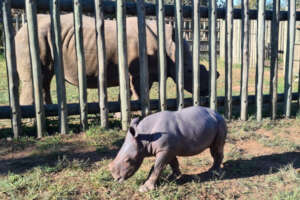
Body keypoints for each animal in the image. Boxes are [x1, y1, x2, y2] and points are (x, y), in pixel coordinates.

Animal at [15, 13, 214, 104]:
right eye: (189, 70)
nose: (206, 91)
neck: (170, 46)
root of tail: (21, 28)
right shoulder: (138, 72)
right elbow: (138, 92)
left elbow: (128, 93)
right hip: (31, 39)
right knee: (36, 79)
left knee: (45, 79)